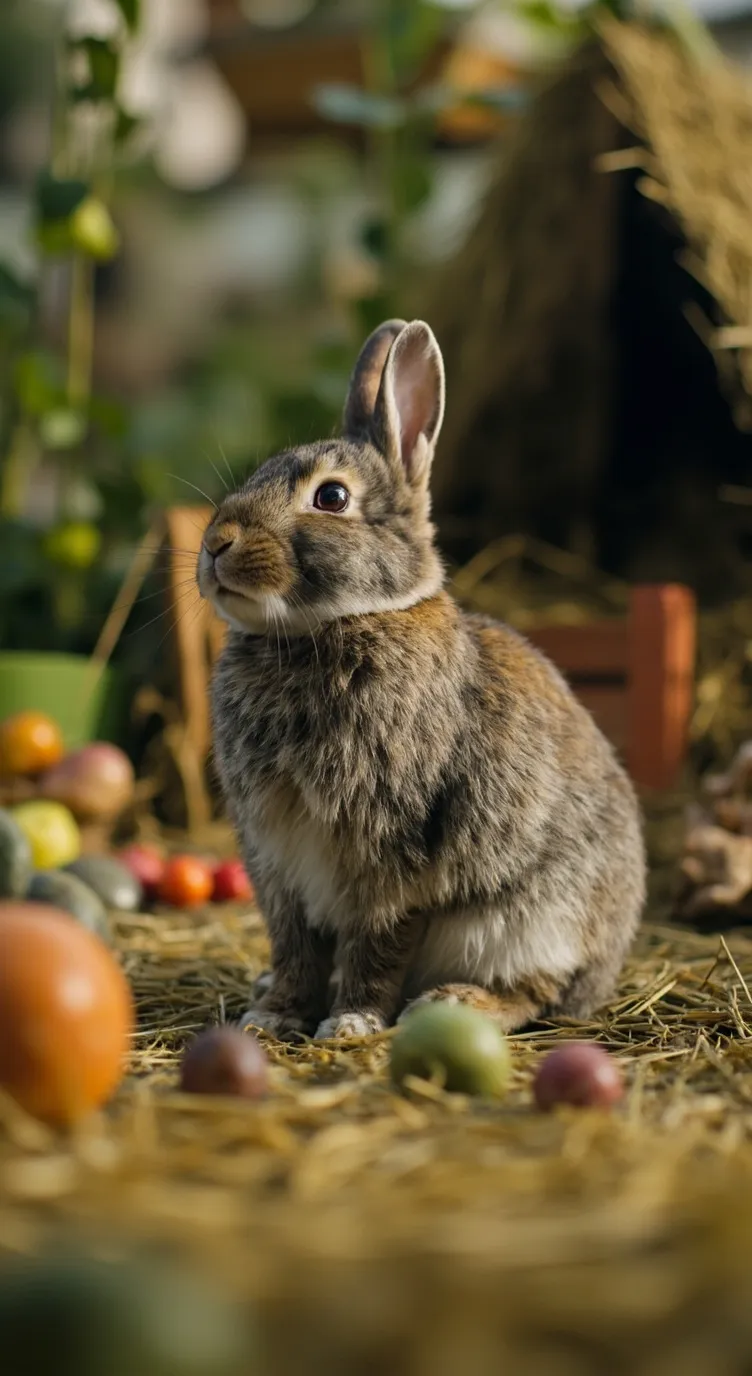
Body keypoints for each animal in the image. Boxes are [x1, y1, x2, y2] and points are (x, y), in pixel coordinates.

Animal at [197, 318, 645, 1041]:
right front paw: (271, 1016)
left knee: (538, 990)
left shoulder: (387, 851)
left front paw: (349, 1022)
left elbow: (376, 942)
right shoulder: (276, 861)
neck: (334, 626)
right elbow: (293, 947)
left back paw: (454, 1004)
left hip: (523, 922)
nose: (216, 544)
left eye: (331, 497)